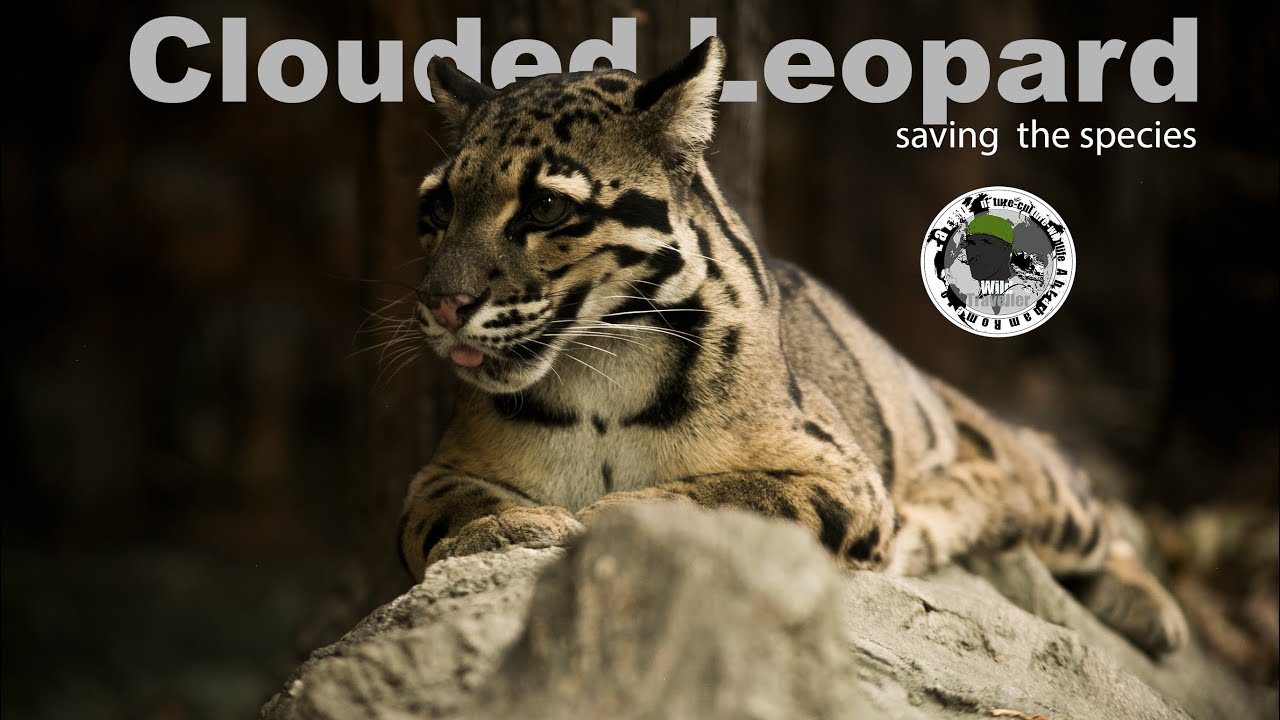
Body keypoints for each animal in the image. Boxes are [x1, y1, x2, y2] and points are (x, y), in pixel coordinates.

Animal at [397, 37, 1188, 657]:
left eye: (546, 206)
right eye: (437, 208)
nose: (441, 303)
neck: (604, 369)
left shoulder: (841, 475)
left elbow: (733, 495)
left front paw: (610, 516)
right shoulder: (436, 474)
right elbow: (443, 516)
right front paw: (510, 526)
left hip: (1035, 476)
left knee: (1085, 492)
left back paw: (1154, 610)